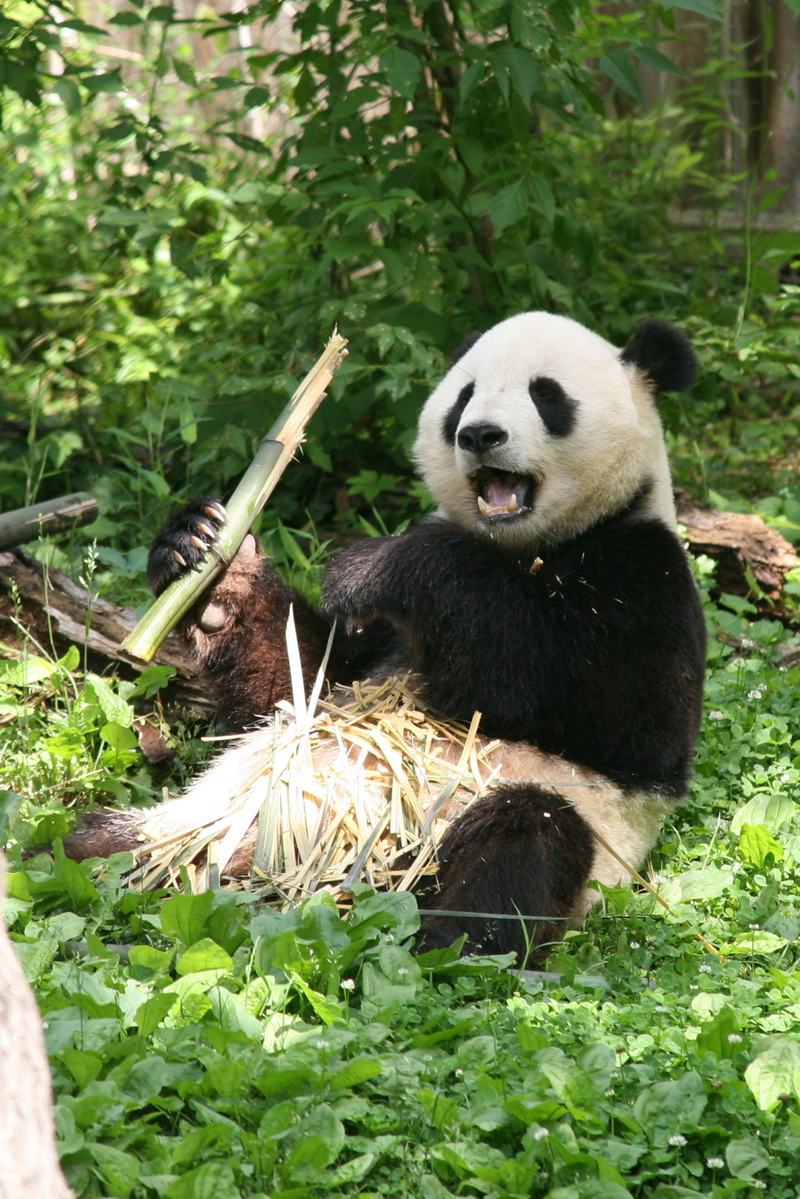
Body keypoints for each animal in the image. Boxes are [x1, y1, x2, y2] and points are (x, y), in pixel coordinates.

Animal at [67, 312, 706, 961]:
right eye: (464, 397)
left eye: (546, 395)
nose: (480, 434)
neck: (525, 547)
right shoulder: (375, 646)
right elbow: (295, 683)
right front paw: (207, 555)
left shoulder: (646, 577)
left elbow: (592, 701)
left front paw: (374, 567)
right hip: (204, 822)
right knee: (94, 844)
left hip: (514, 833)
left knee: (523, 840)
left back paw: (448, 943)